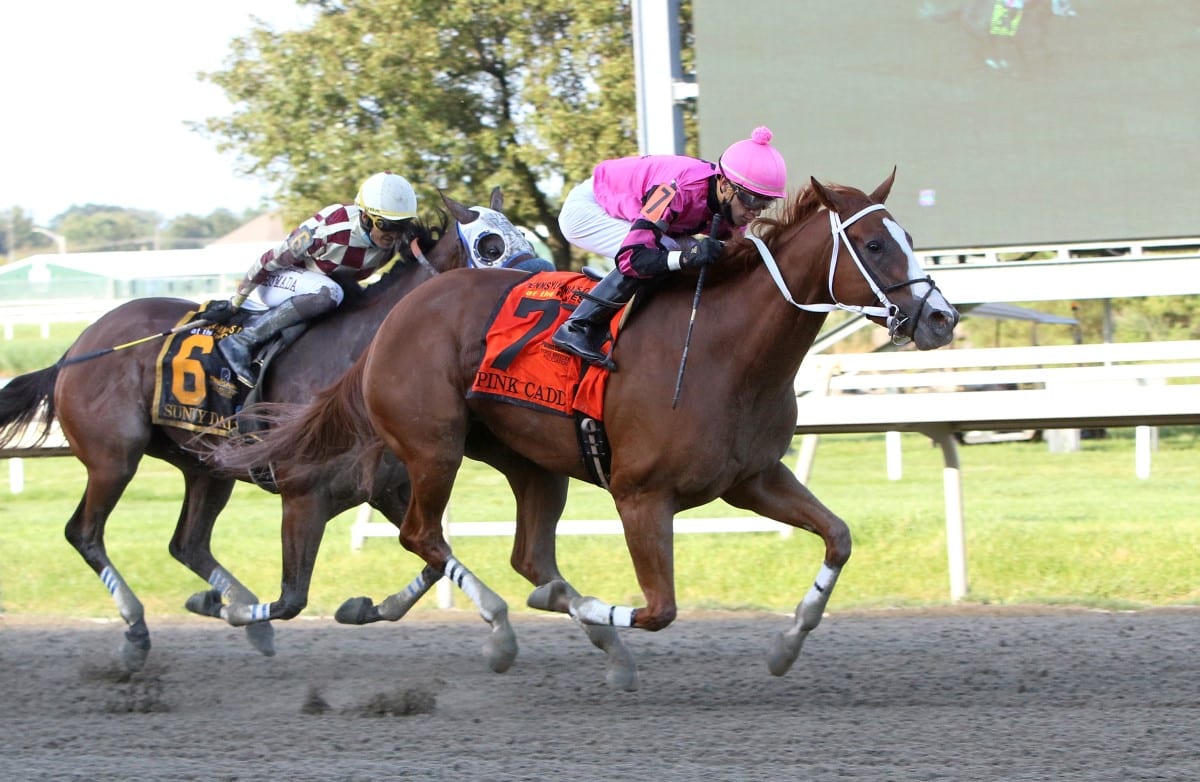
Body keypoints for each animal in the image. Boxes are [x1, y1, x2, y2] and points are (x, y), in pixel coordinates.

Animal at [0, 190, 544, 671]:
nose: (541, 282)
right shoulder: (303, 495)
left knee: (187, 544)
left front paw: (368, 608)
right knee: (85, 533)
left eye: (524, 235)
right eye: (490, 245)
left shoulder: (386, 487)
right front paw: (223, 609)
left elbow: (432, 560)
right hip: (113, 458)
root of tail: (76, 348)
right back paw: (137, 632)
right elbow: (291, 599)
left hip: (205, 465)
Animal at [216, 172, 960, 690]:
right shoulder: (641, 495)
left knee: (524, 554)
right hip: (434, 448)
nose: (941, 319)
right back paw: (506, 631)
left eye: (908, 239)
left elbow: (838, 537)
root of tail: (394, 321)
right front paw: (601, 621)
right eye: (873, 244)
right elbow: (659, 609)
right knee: (425, 535)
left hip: (530, 462)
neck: (723, 349)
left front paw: (785, 645)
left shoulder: (753, 478)